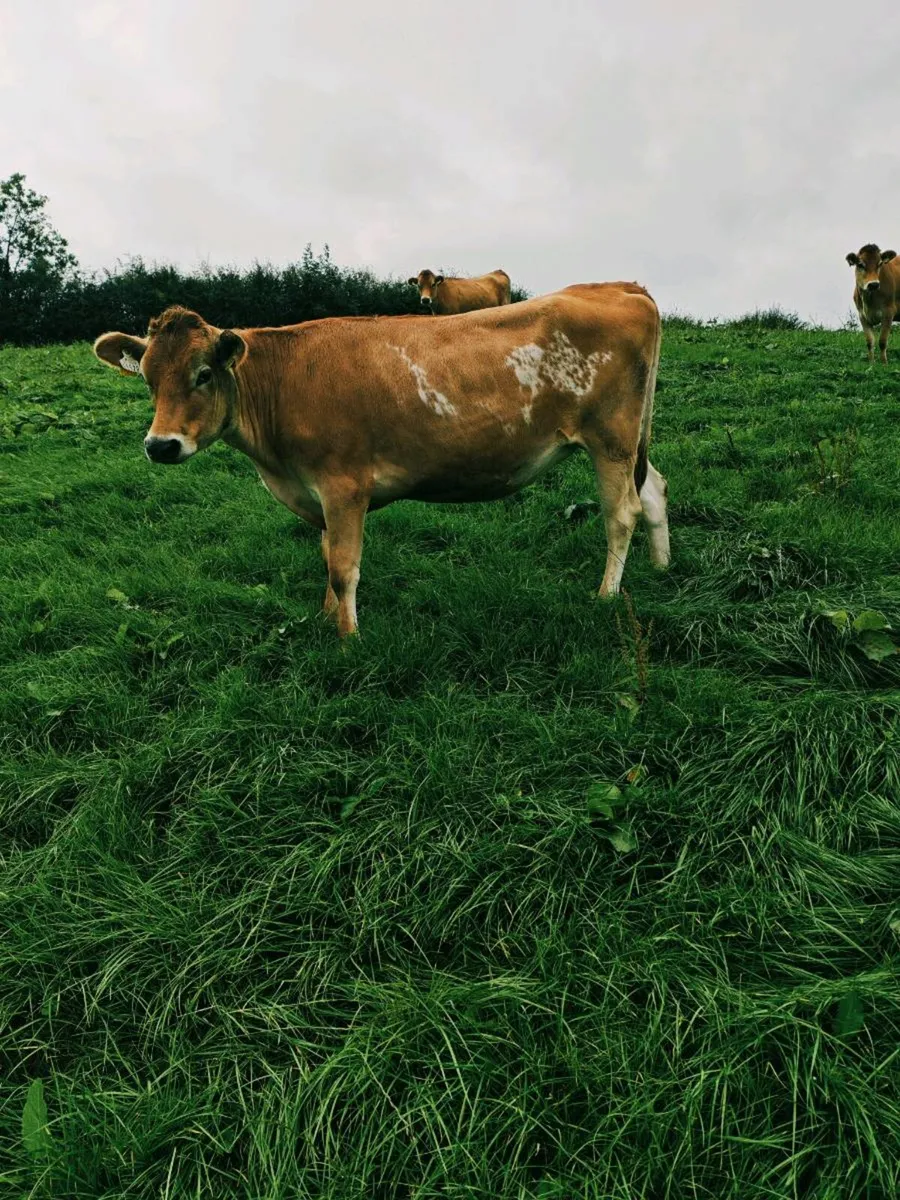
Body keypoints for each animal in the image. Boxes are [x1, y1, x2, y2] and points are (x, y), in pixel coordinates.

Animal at [92, 283, 669, 638]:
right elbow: (327, 558)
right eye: (147, 379)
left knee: (622, 513)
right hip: (631, 442)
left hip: (611, 438)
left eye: (204, 374)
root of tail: (619, 286)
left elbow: (344, 566)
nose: (160, 445)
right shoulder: (317, 493)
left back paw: (605, 595)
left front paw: (348, 638)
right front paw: (326, 619)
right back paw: (662, 567)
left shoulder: (344, 484)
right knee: (654, 491)